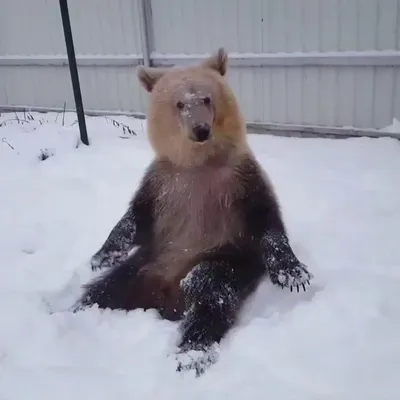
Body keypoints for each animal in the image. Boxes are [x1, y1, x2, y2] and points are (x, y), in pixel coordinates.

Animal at [73, 48, 314, 376]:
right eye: (179, 103)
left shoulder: (238, 181)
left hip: (228, 259)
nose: (201, 130)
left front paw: (293, 274)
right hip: (148, 263)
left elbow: (266, 220)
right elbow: (135, 218)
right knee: (108, 289)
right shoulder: (163, 185)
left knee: (210, 292)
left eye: (207, 98)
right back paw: (78, 309)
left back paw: (190, 351)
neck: (198, 163)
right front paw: (102, 256)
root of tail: (165, 297)